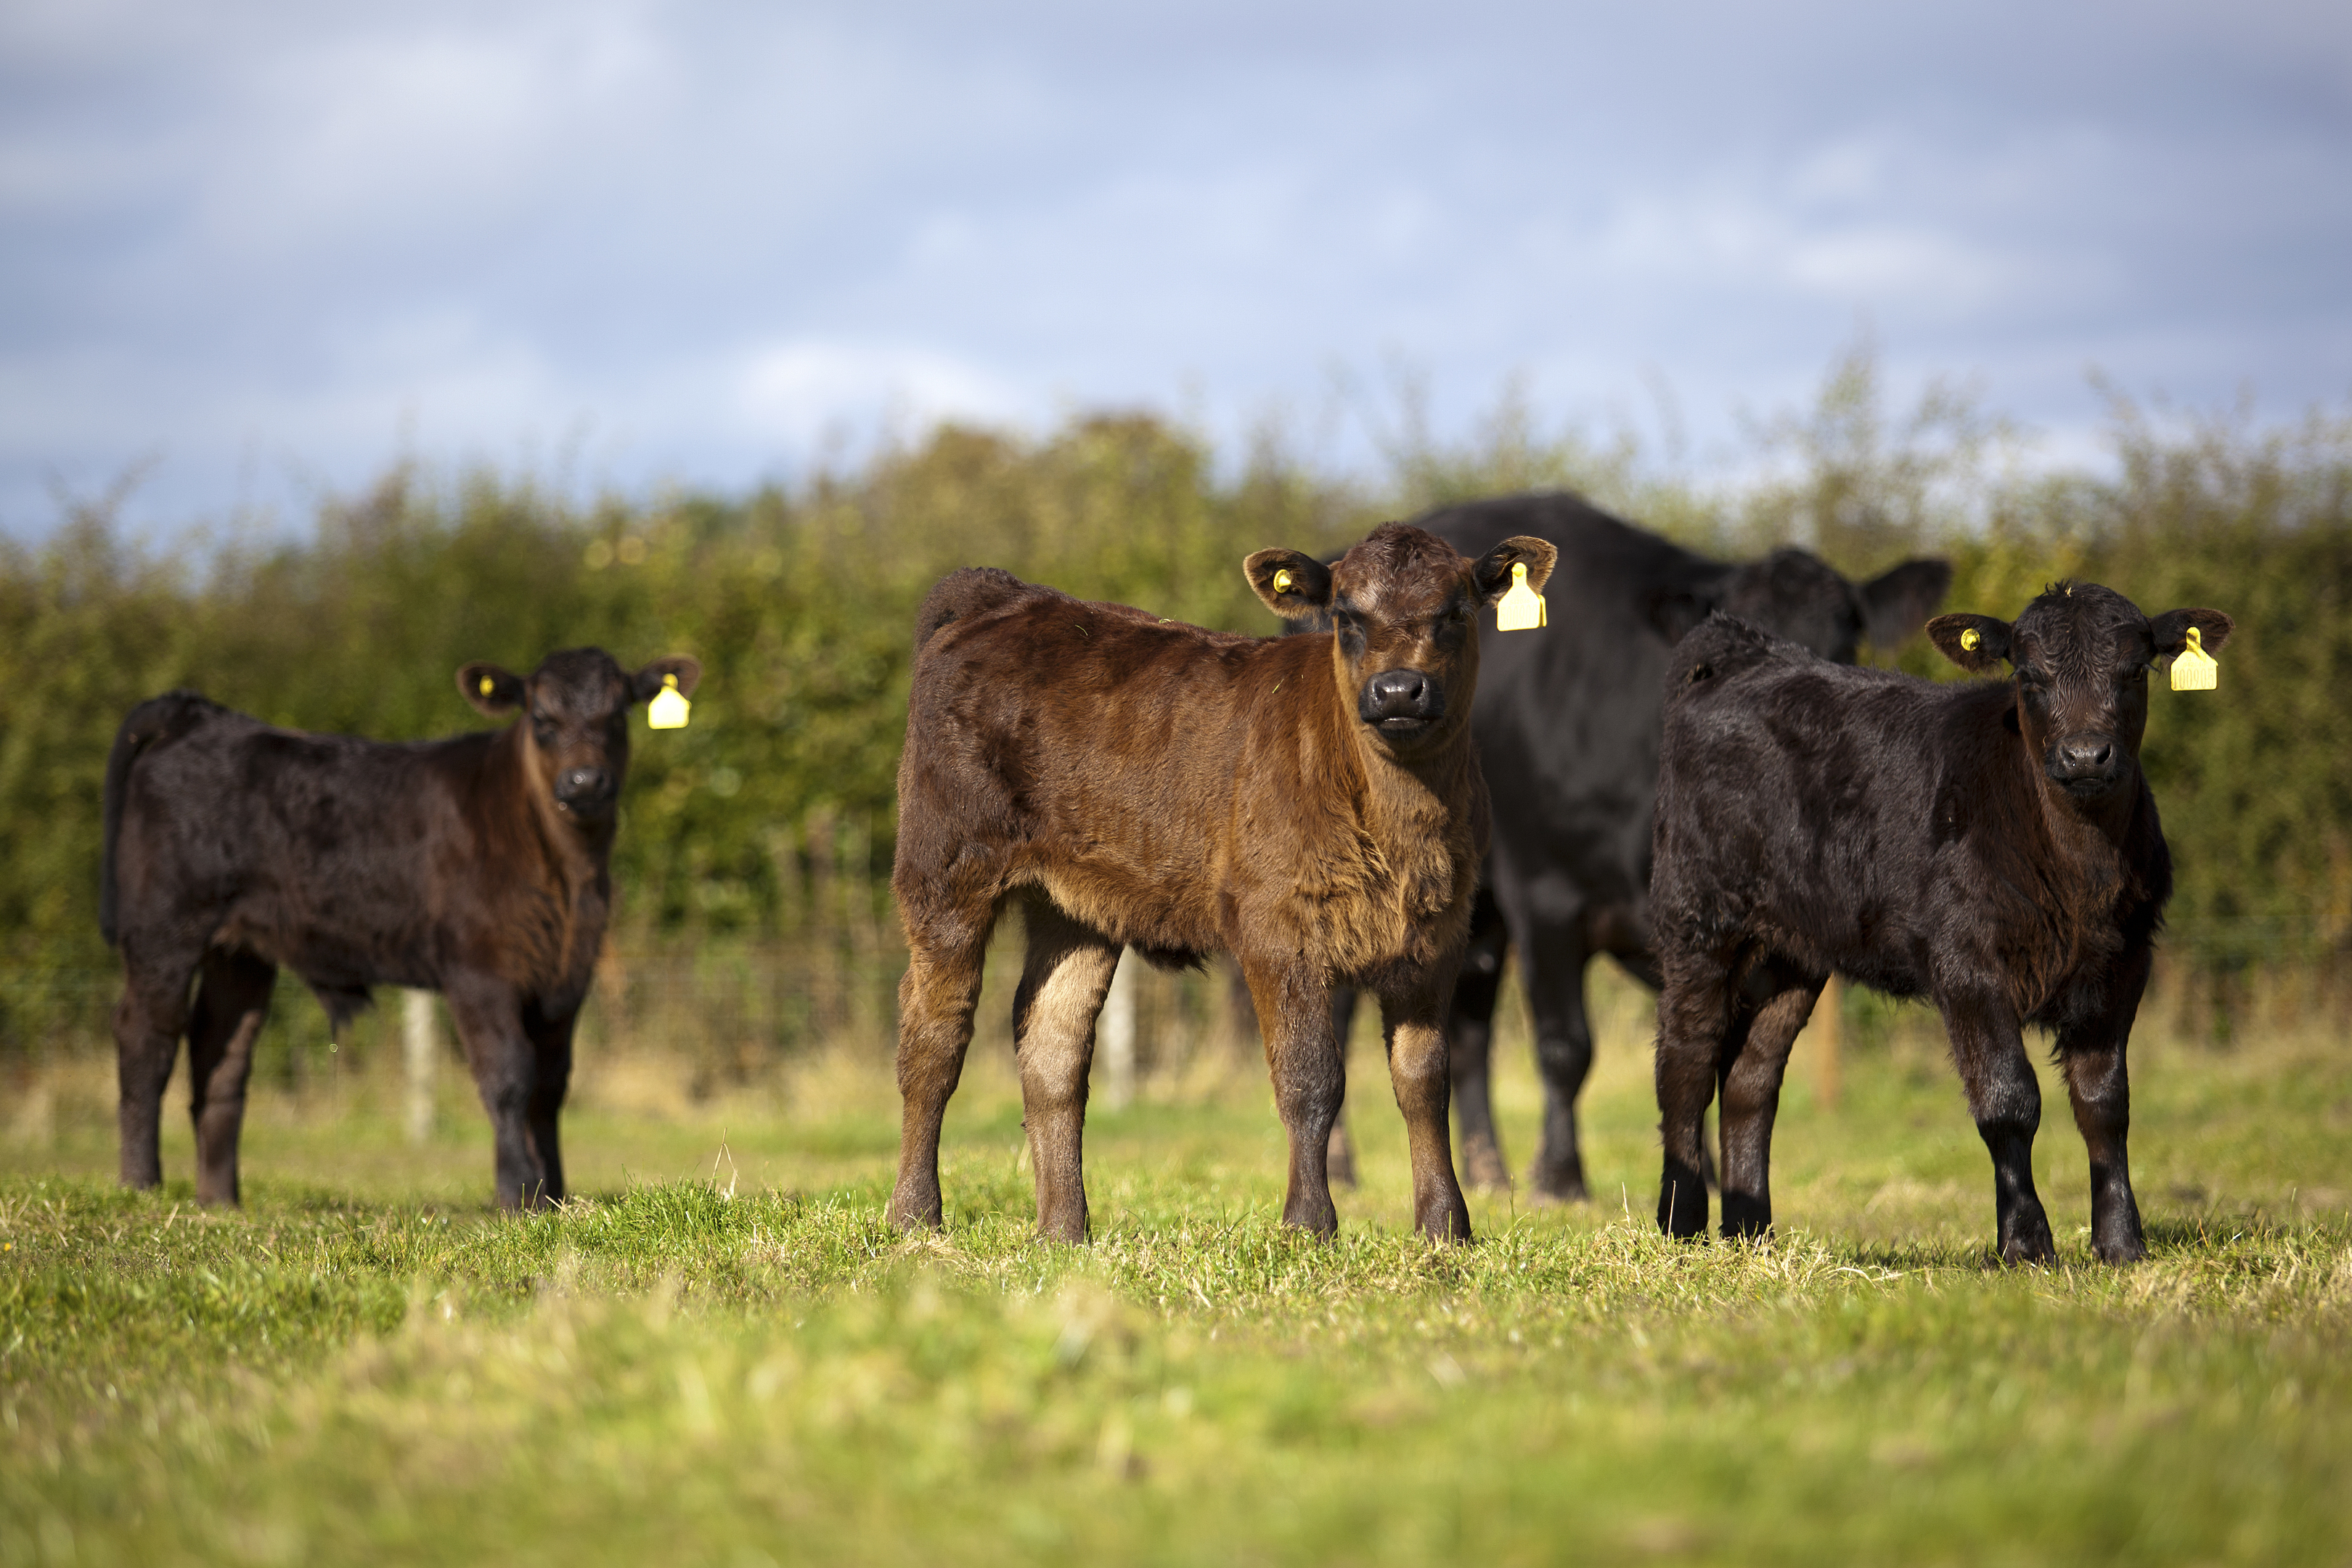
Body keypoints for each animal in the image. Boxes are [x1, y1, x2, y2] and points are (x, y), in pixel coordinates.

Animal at [101, 648, 701, 1213]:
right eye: (540, 716)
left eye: (619, 712)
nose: (584, 781)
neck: (568, 877)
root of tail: (202, 715)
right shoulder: (477, 968)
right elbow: (509, 1076)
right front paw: (517, 1193)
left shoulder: (569, 974)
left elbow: (550, 1086)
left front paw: (553, 1193)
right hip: (164, 928)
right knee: (147, 1038)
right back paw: (141, 1183)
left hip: (242, 949)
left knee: (220, 1053)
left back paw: (220, 1198)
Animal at [879, 524, 1543, 1241]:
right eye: (1345, 616)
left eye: (1455, 612)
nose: (1397, 691)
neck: (1401, 824)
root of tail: (1000, 594)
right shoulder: (1277, 926)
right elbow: (1311, 1079)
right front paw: (1308, 1223)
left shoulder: (1439, 933)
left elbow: (1424, 1079)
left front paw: (1445, 1225)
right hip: (944, 869)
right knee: (934, 1039)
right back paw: (915, 1215)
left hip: (1076, 905)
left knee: (1052, 1048)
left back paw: (1064, 1230)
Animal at [1345, 496, 1947, 1194]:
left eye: (1844, 646)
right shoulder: (1545, 893)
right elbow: (1566, 1045)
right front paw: (1560, 1178)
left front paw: (1703, 1174)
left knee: (1465, 1024)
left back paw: (1488, 1171)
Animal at [1646, 585, 2229, 1259]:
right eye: (2027, 676)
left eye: (2135, 670)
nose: (2085, 755)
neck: (2080, 869)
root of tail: (1745, 653)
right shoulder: (1966, 962)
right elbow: (2009, 1098)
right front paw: (2025, 1244)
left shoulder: (2124, 962)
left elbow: (2105, 1103)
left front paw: (2121, 1243)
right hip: (1700, 921)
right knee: (1686, 1062)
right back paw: (1680, 1225)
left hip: (1790, 950)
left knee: (1751, 1079)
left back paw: (1750, 1235)